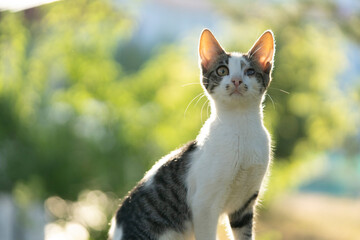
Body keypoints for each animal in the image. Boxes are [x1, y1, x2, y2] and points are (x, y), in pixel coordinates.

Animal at [108, 28, 274, 240]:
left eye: (250, 72)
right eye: (222, 70)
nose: (236, 80)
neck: (240, 126)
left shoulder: (244, 203)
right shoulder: (204, 204)